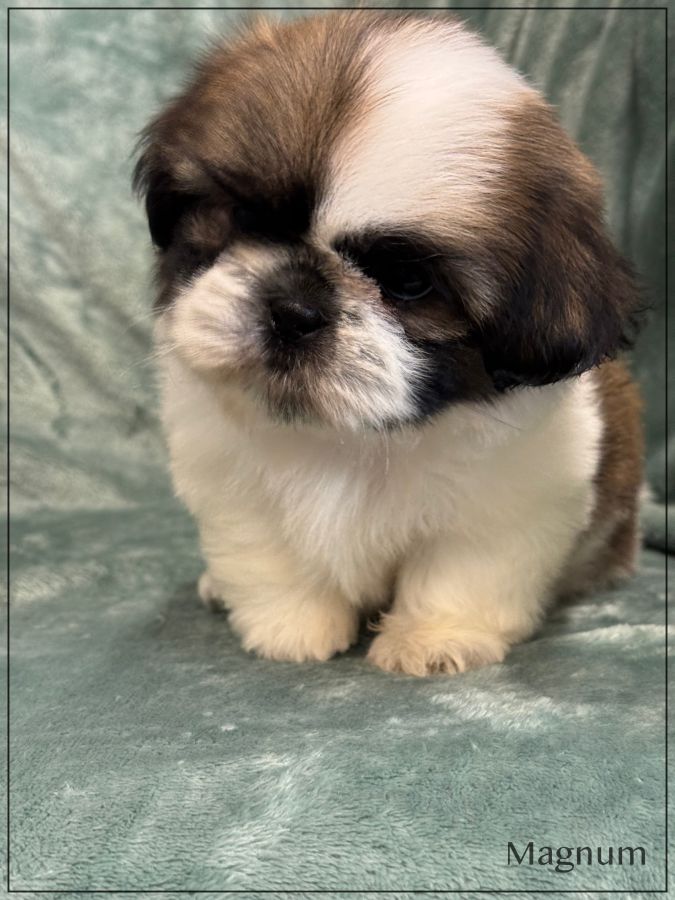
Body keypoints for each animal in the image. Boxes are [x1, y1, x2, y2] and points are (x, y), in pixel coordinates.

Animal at [134, 11, 644, 676]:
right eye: (245, 219)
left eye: (407, 283)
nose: (294, 309)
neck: (343, 437)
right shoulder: (233, 490)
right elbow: (270, 556)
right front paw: (288, 628)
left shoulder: (508, 502)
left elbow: (462, 570)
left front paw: (435, 639)